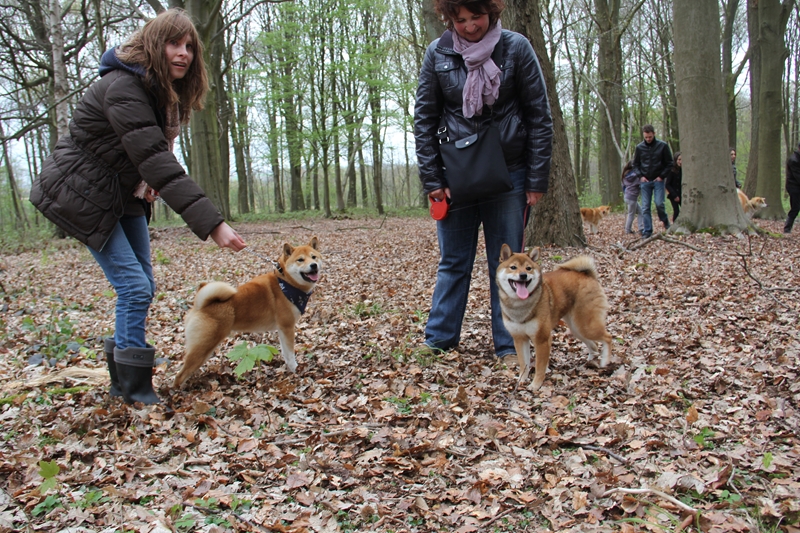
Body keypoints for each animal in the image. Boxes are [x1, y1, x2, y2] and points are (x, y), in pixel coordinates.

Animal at [175, 237, 322, 386]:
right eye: (300, 260)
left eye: (313, 257)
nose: (314, 265)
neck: (286, 282)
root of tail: (200, 306)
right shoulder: (287, 327)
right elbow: (291, 355)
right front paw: (295, 370)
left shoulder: (282, 329)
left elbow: (286, 354)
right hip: (203, 348)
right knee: (179, 376)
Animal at [494, 243, 612, 388]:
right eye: (513, 267)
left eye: (528, 268)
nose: (523, 275)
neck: (519, 304)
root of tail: (587, 275)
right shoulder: (520, 338)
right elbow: (523, 363)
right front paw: (521, 380)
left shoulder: (542, 340)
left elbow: (539, 366)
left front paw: (535, 385)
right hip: (577, 328)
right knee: (594, 345)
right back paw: (589, 362)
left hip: (586, 326)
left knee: (608, 337)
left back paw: (605, 361)